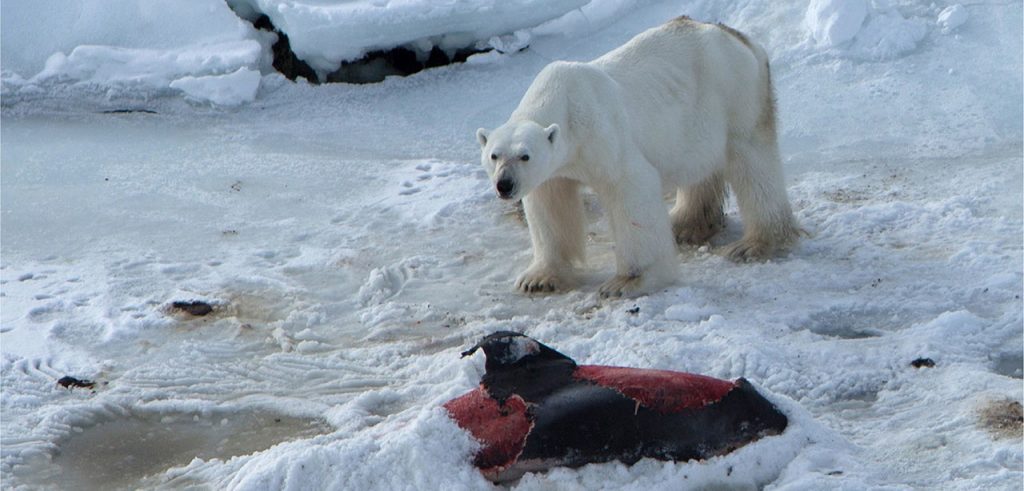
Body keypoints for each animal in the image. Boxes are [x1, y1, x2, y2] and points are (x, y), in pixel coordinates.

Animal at [475, 17, 802, 297]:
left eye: (525, 156)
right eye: (494, 155)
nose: (504, 185)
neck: (563, 102)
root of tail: (739, 36)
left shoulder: (601, 136)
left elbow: (630, 188)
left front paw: (627, 282)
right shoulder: (555, 170)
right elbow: (549, 204)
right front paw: (538, 278)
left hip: (734, 94)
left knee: (753, 161)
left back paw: (754, 243)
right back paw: (684, 223)